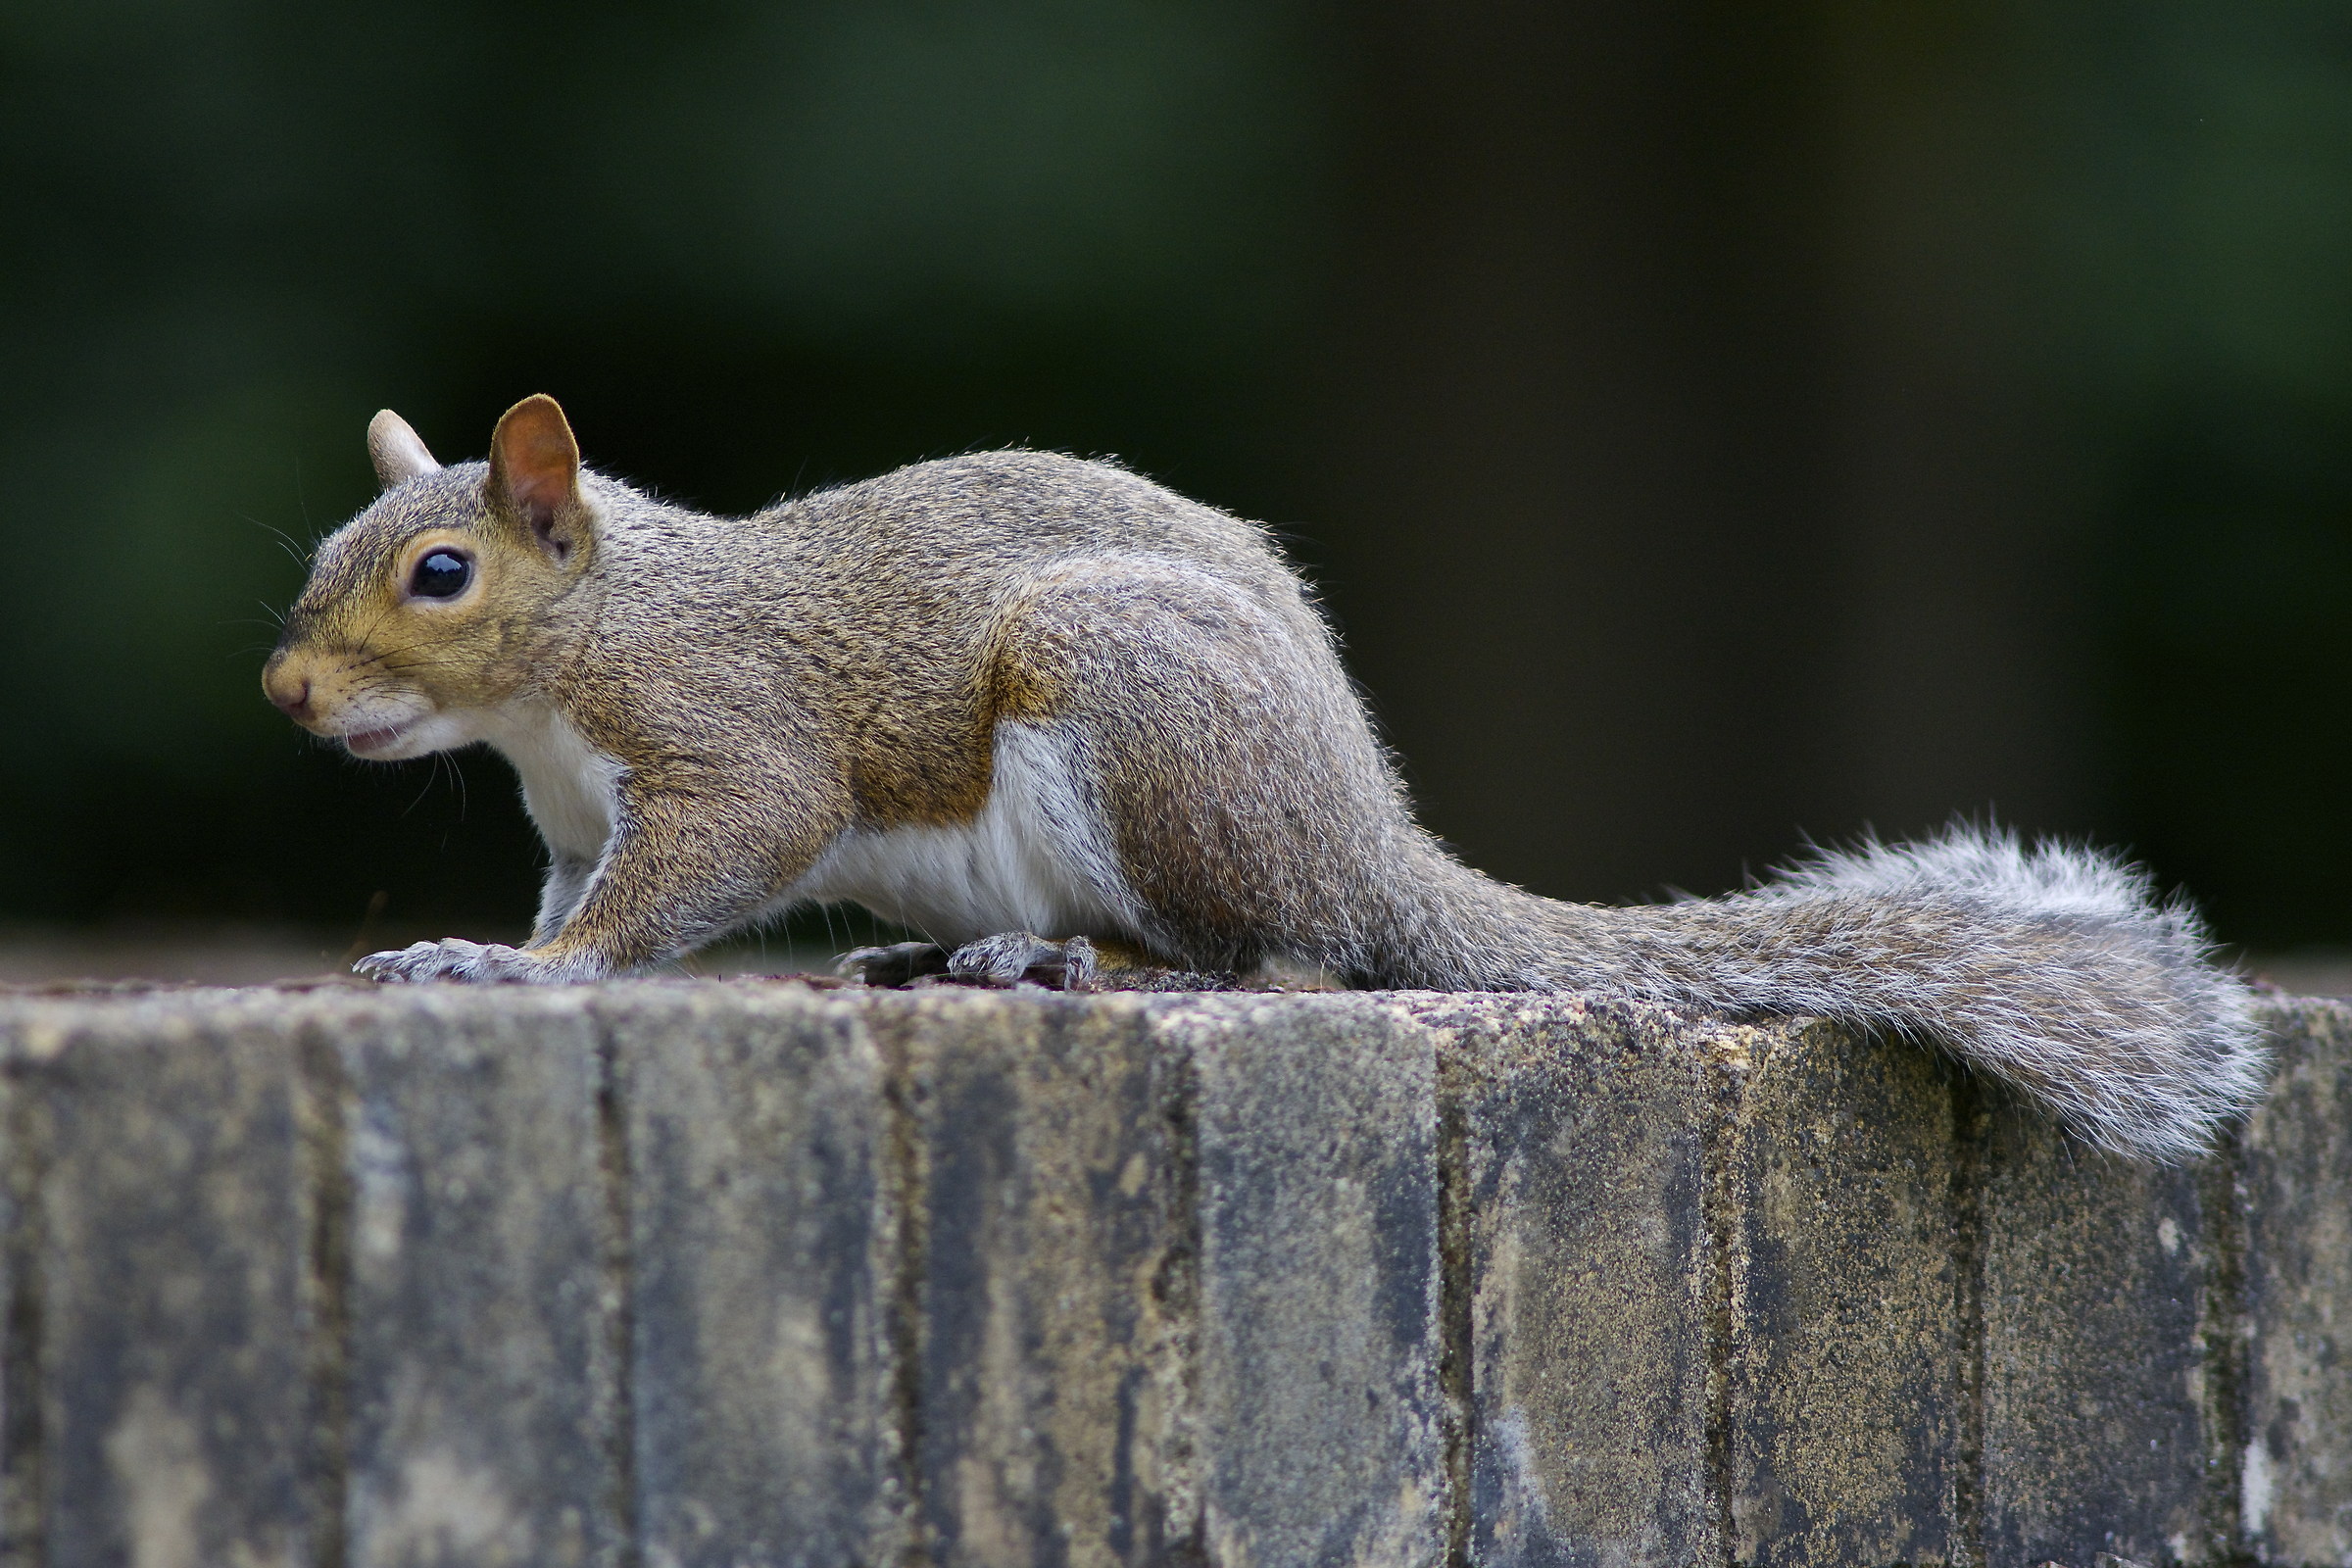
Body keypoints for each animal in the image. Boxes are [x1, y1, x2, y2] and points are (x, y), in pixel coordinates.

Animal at [263, 395, 2266, 1161]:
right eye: (336, 545)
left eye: (438, 574)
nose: (284, 691)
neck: (577, 663)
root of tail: (1367, 837)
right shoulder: (573, 815)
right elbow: (577, 885)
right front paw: (472, 950)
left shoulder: (727, 737)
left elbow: (692, 874)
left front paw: (520, 973)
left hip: (1134, 719)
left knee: (1285, 960)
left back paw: (1058, 960)